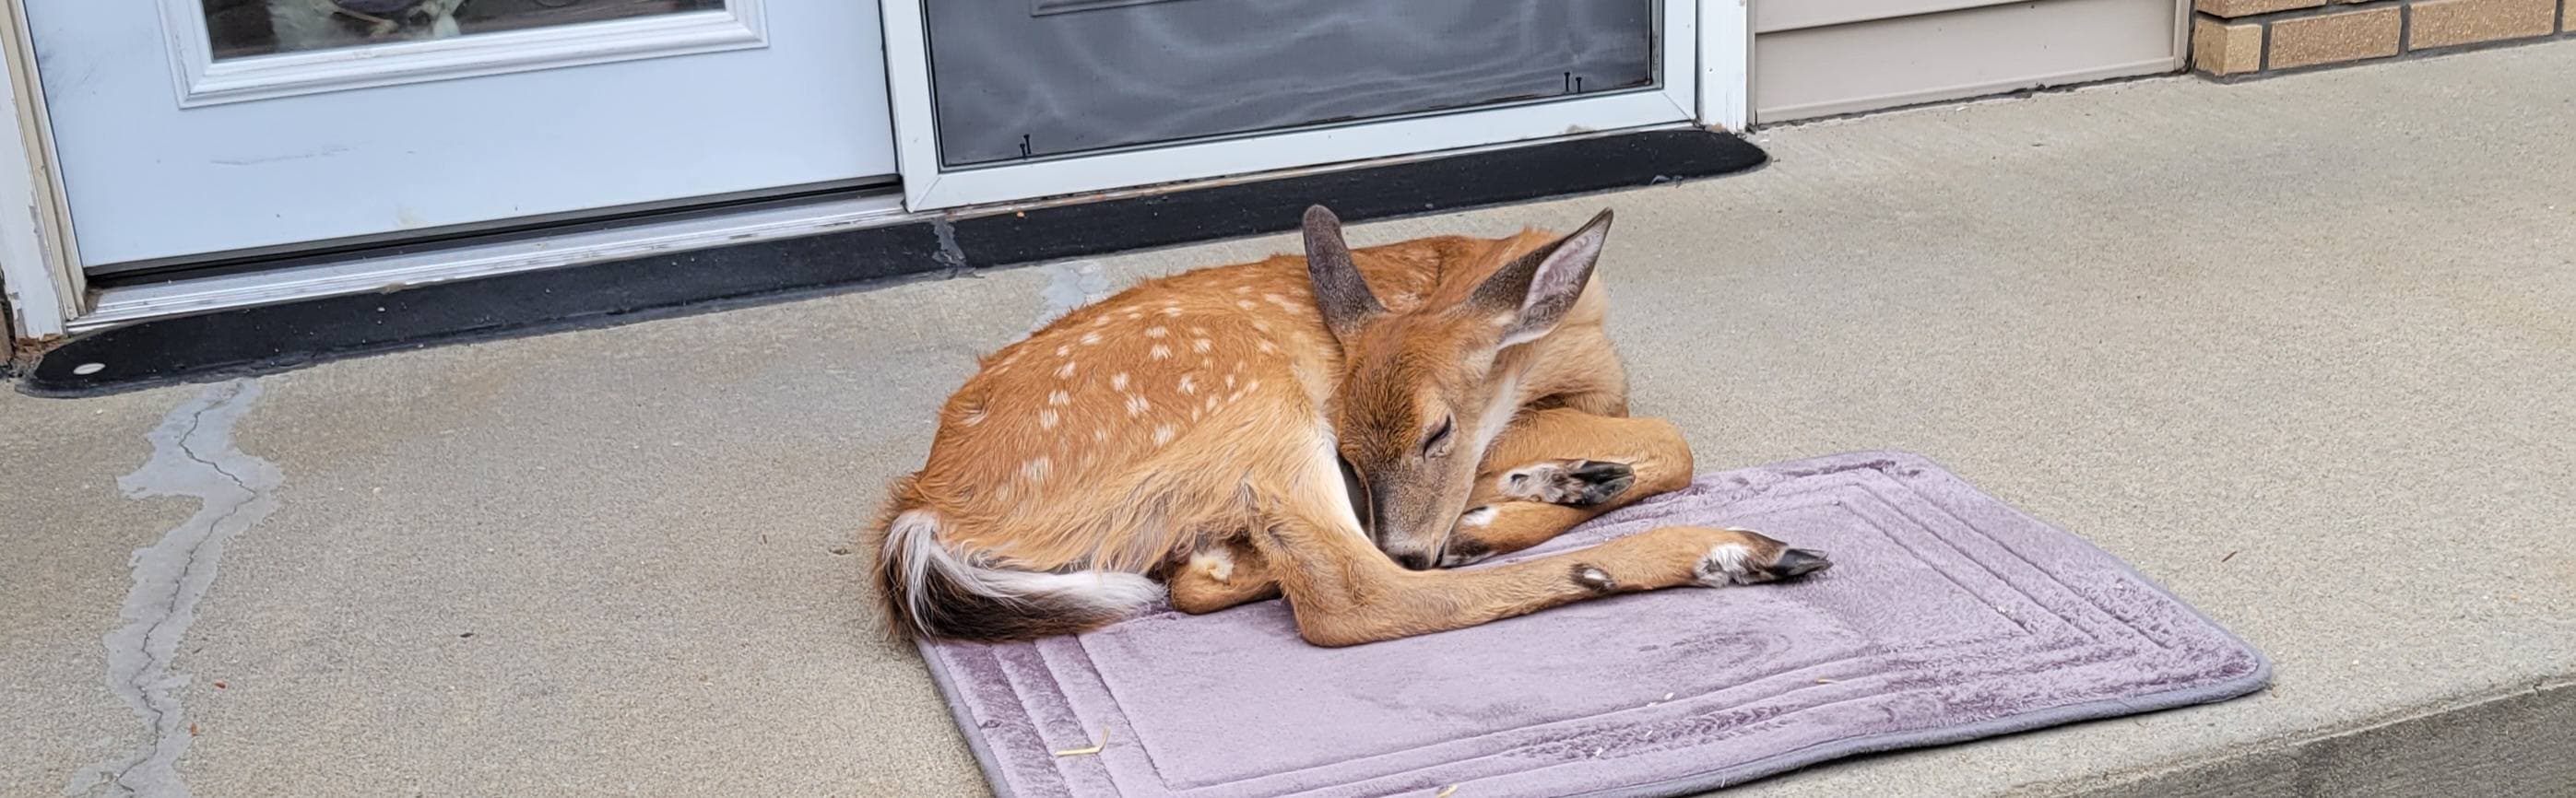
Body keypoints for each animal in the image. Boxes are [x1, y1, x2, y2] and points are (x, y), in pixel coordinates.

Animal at [871, 205, 1830, 647]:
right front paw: (1517, 501)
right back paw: (1731, 549)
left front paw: (1537, 491)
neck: (1571, 345)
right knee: (1353, 599)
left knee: (1205, 578)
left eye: (1436, 434)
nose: (1419, 537)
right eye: (1353, 446)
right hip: (1257, 402)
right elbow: (1672, 441)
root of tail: (925, 508)